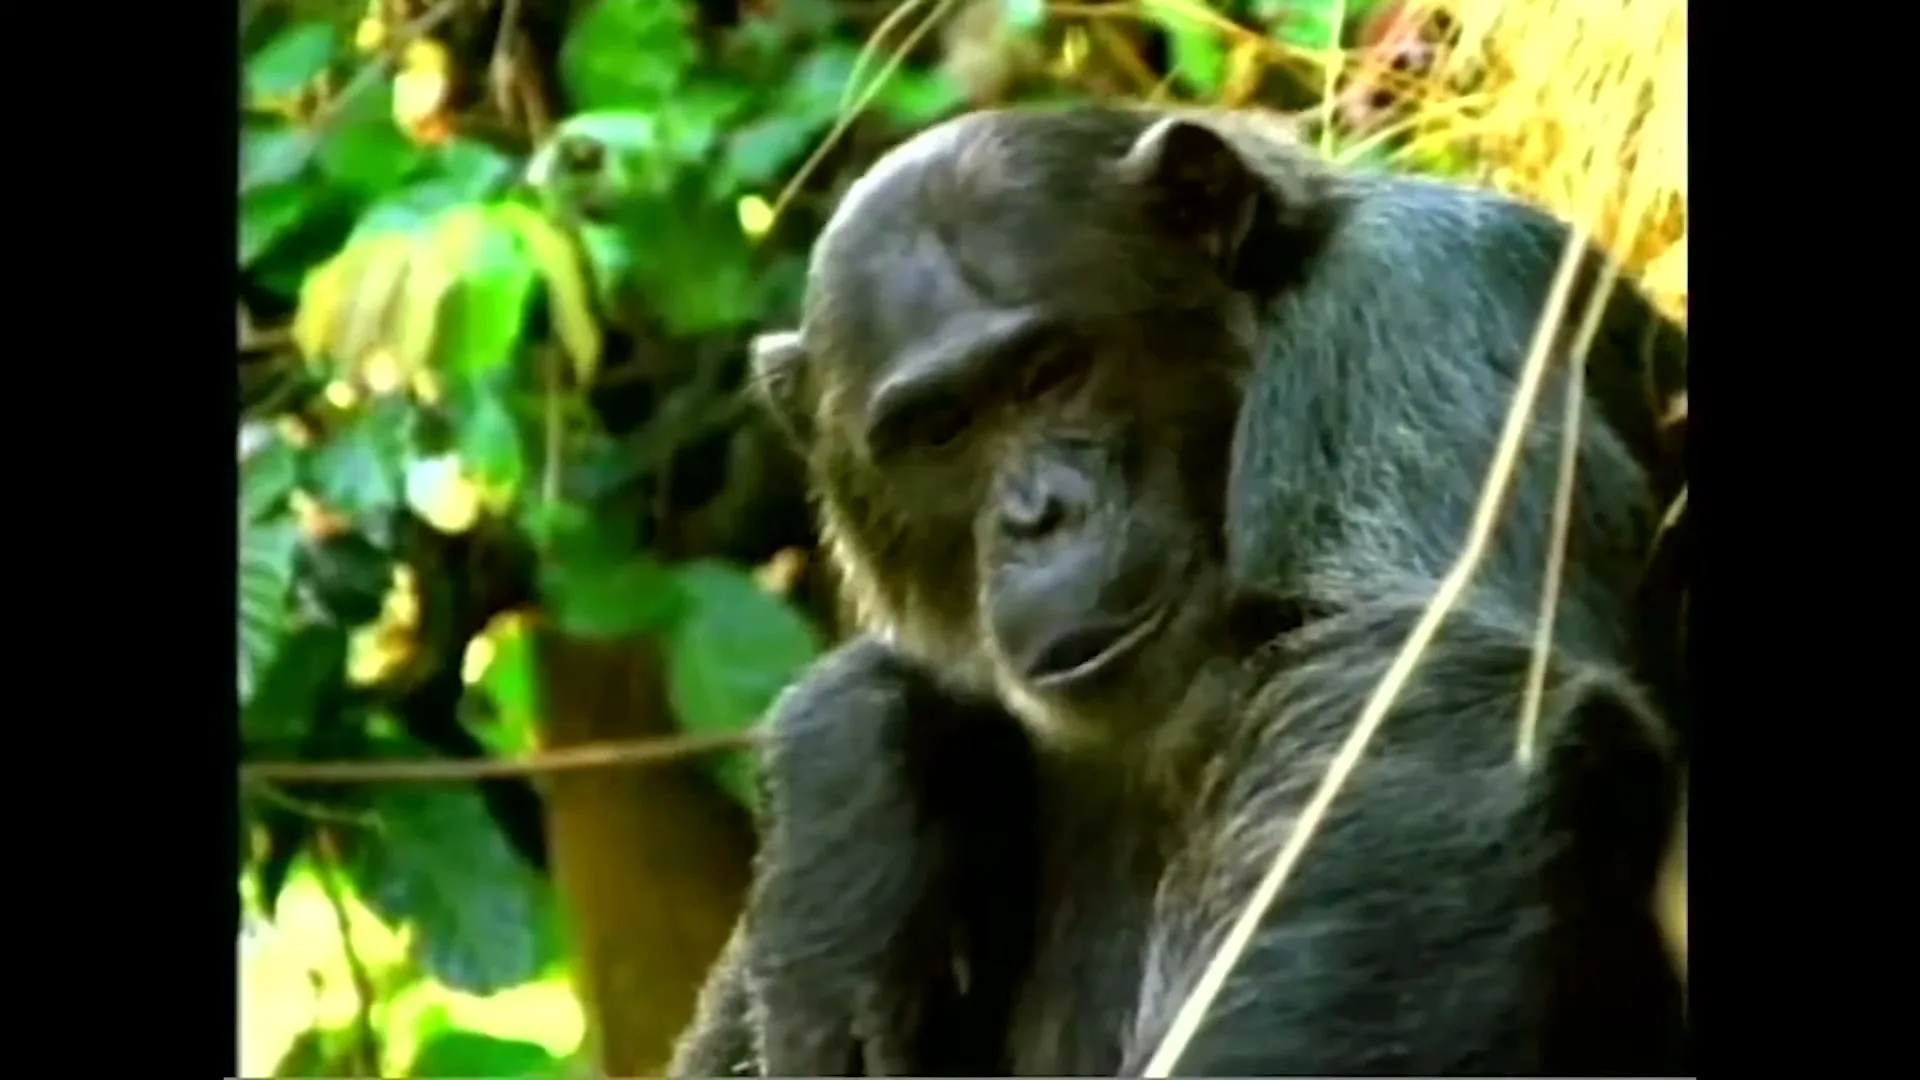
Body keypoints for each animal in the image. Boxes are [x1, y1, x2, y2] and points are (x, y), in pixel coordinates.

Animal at [670, 103, 1689, 1076]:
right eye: (940, 431)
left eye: (1052, 373)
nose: (1040, 515)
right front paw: (846, 811)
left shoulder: (1422, 297)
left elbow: (1418, 687)